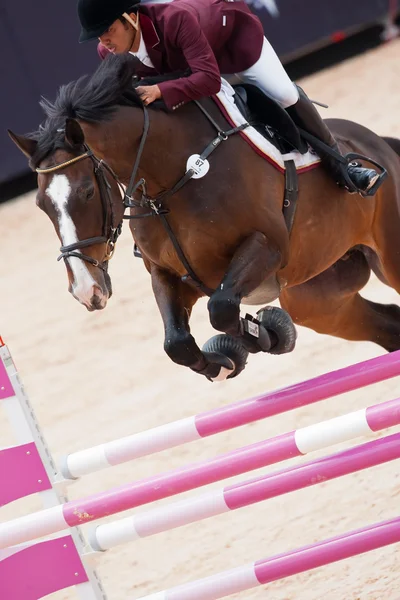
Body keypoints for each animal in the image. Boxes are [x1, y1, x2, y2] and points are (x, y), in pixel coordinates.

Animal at [7, 52, 400, 380]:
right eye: (42, 204)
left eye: (87, 192)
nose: (85, 290)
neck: (173, 178)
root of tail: (376, 141)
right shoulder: (169, 274)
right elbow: (177, 344)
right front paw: (226, 362)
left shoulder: (268, 247)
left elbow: (222, 307)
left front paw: (268, 334)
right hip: (317, 298)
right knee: (386, 325)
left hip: (386, 260)